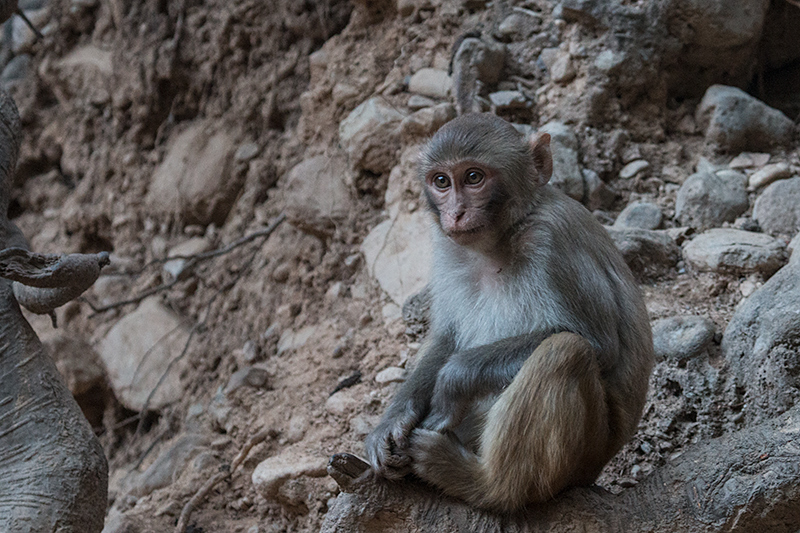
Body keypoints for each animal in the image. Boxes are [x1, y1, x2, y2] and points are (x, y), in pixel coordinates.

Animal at [366, 114, 652, 512]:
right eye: (441, 181)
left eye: (474, 177)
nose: (455, 213)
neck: (498, 241)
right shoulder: (447, 248)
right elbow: (445, 337)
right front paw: (392, 422)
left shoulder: (553, 238)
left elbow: (599, 344)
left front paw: (453, 380)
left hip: (584, 457)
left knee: (565, 353)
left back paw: (483, 483)